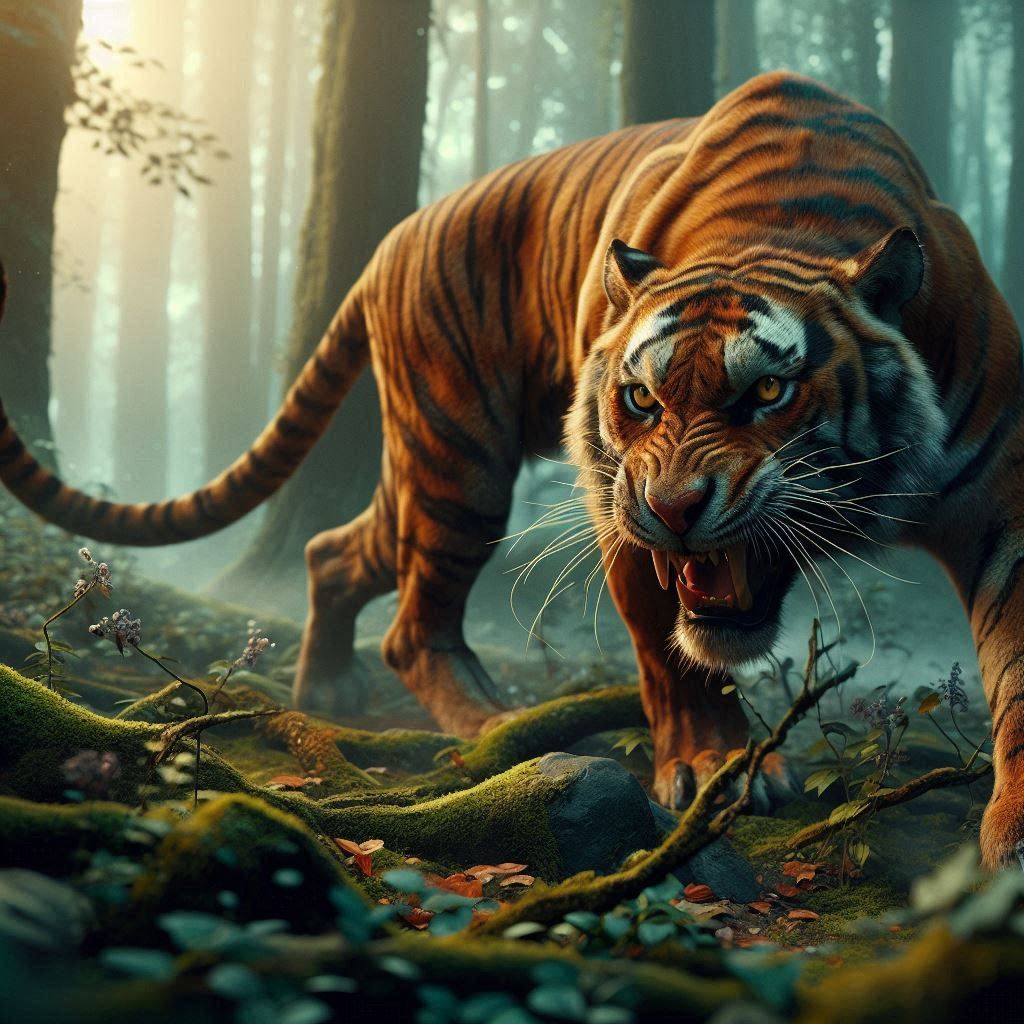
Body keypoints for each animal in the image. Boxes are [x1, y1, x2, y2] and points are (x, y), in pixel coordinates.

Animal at [1, 71, 1022, 866]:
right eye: (641, 399)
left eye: (768, 393)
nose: (674, 508)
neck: (787, 225)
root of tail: (392, 237)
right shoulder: (614, 499)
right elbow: (671, 652)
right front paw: (709, 767)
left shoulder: (1002, 504)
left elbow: (1012, 674)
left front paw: (1010, 840)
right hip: (461, 458)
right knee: (415, 623)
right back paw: (493, 728)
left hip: (429, 465)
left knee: (340, 550)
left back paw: (326, 688)